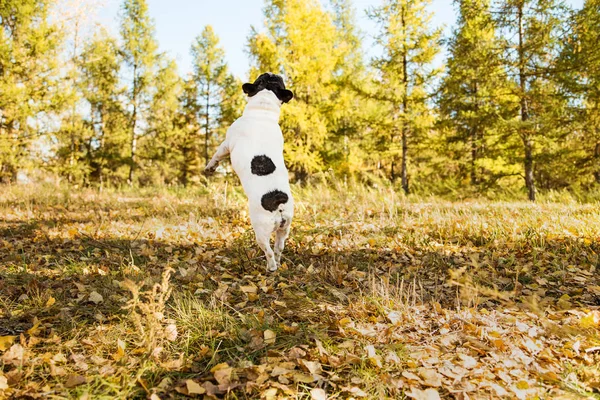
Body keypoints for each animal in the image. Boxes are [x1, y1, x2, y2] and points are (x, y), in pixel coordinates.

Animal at [203, 72, 294, 272]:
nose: (272, 72)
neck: (263, 110)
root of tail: (279, 201)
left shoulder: (226, 144)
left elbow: (216, 155)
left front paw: (210, 168)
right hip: (285, 228)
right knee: (279, 247)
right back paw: (278, 261)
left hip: (260, 230)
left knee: (268, 251)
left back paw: (270, 267)